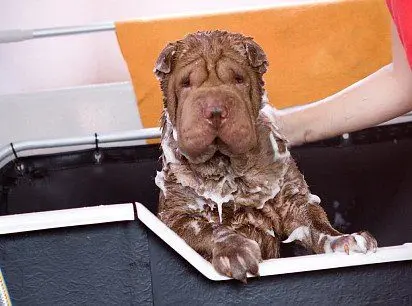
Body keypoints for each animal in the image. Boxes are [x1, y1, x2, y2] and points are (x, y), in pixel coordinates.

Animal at [154, 30, 376, 282]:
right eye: (186, 84)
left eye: (238, 79)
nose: (216, 110)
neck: (226, 165)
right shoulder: (176, 215)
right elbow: (209, 228)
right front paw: (235, 250)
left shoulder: (292, 200)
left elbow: (315, 222)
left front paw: (343, 238)